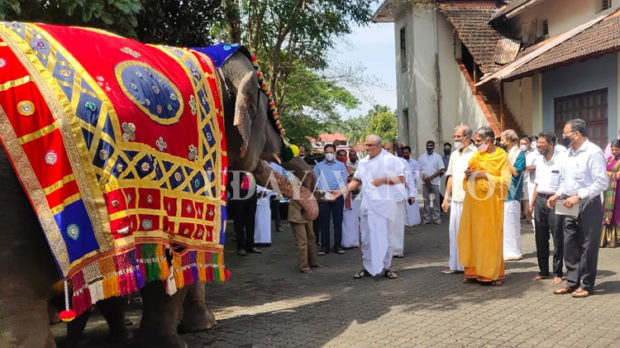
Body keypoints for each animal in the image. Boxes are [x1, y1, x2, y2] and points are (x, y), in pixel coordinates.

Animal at [0, 22, 314, 348]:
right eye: (269, 113)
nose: (292, 154)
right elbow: (177, 251)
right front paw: (182, 336)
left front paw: (195, 327)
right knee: (19, 294)